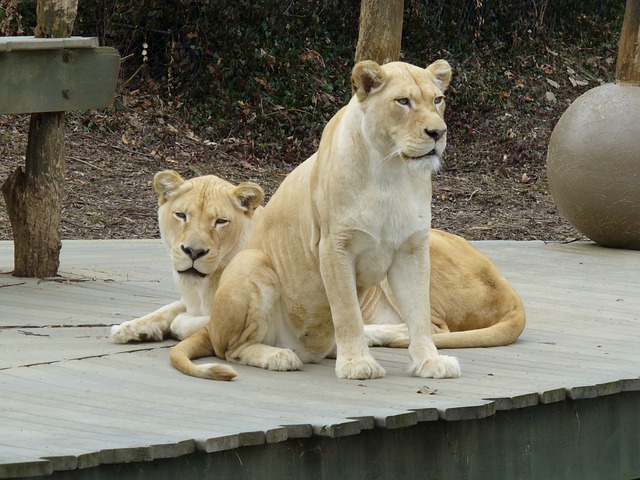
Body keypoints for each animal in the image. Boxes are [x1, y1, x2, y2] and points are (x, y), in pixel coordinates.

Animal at [110, 167, 262, 358]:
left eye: (221, 221)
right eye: (181, 215)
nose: (194, 252)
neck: (203, 286)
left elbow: (194, 322)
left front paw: (179, 324)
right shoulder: (188, 301)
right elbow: (165, 310)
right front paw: (127, 329)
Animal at [168, 60, 488, 380]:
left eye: (438, 100)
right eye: (403, 101)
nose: (438, 132)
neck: (391, 172)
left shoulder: (412, 249)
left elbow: (419, 310)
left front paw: (430, 361)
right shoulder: (335, 247)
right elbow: (347, 311)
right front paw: (357, 363)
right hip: (251, 262)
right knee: (231, 349)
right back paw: (279, 356)